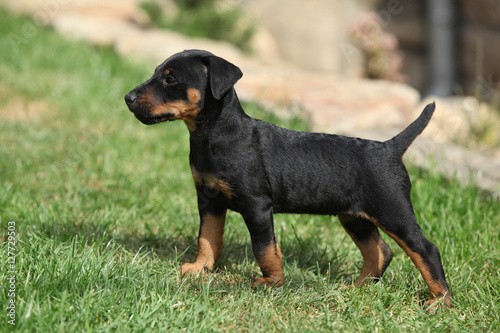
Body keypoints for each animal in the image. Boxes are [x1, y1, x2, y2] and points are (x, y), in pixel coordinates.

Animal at [124, 48, 450, 308]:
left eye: (170, 80)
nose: (127, 98)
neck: (213, 135)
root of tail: (390, 147)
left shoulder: (256, 206)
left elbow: (265, 248)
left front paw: (272, 283)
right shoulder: (208, 200)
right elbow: (207, 238)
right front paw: (200, 269)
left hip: (392, 210)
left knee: (425, 249)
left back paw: (439, 301)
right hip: (354, 216)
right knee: (380, 251)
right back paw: (356, 288)